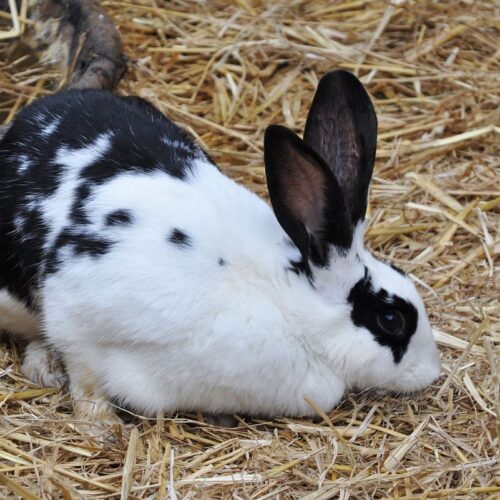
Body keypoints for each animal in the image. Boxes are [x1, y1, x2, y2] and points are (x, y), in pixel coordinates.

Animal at [0, 69, 440, 422]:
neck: (285, 303)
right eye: (391, 320)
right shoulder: (77, 315)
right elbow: (86, 378)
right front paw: (100, 427)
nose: (432, 372)